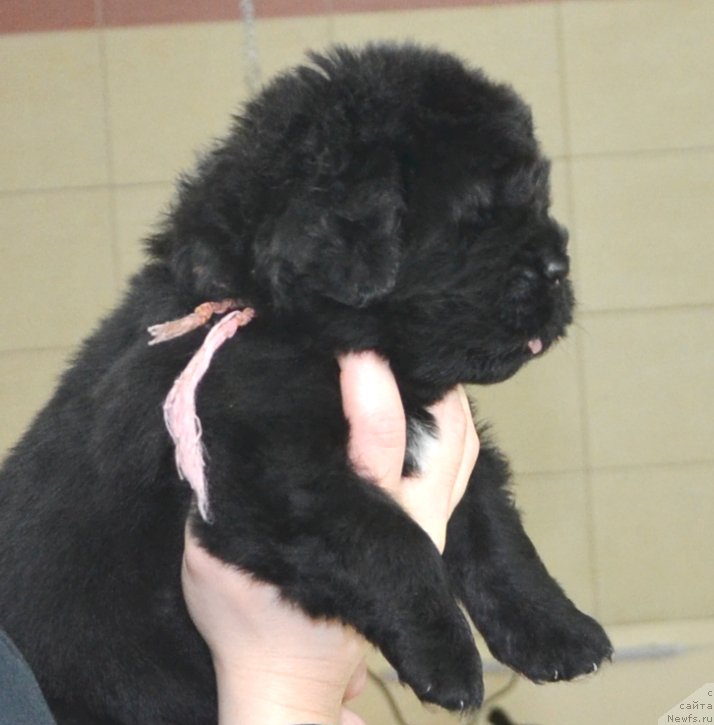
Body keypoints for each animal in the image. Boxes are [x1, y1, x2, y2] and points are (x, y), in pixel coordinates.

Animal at [0, 46, 612, 724]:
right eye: (474, 215)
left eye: (536, 197)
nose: (559, 268)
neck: (285, 319)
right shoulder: (267, 471)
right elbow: (393, 540)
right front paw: (447, 661)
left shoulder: (448, 451)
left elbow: (496, 531)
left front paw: (560, 633)